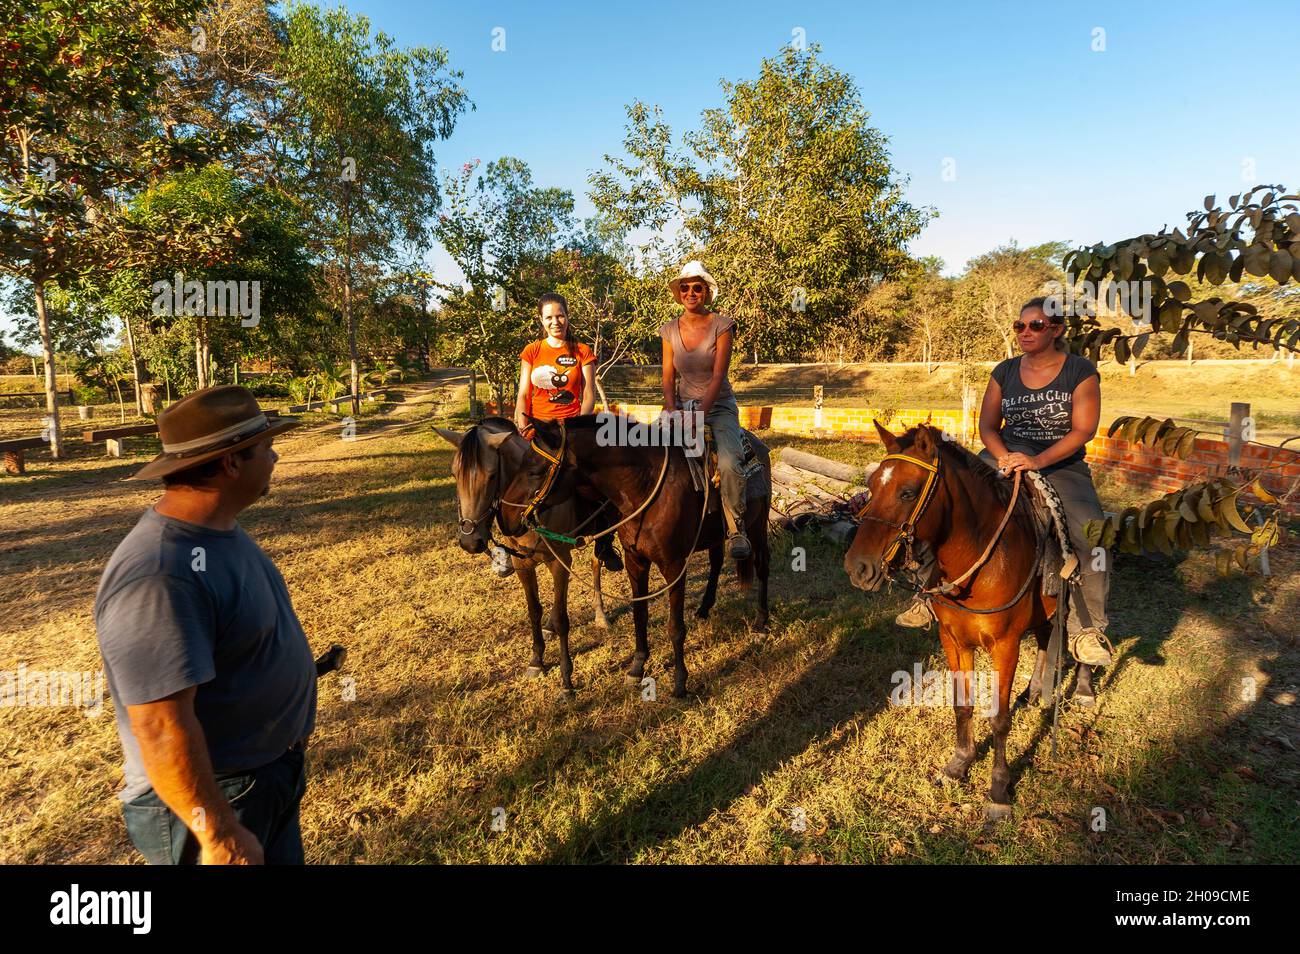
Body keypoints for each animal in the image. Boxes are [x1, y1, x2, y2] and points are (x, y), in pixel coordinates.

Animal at [439, 418, 611, 696]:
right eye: (455, 475)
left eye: (492, 476)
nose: (470, 541)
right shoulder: (523, 565)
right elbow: (534, 611)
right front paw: (537, 661)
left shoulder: (560, 562)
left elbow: (563, 618)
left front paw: (566, 679)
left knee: (597, 564)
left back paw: (600, 614)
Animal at [499, 415, 764, 696]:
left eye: (535, 471)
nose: (504, 517)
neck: (645, 487)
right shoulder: (634, 560)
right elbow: (640, 614)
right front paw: (637, 668)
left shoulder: (673, 565)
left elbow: (675, 627)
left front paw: (680, 682)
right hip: (715, 536)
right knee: (715, 563)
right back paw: (704, 609)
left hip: (758, 527)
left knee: (763, 566)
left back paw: (761, 624)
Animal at [842, 426, 1097, 821]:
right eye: (871, 485)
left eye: (908, 492)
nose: (858, 567)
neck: (980, 558)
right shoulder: (954, 641)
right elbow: (963, 706)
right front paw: (959, 764)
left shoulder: (1005, 645)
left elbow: (999, 718)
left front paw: (998, 789)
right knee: (1044, 640)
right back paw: (1035, 691)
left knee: (1088, 629)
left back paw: (1083, 685)